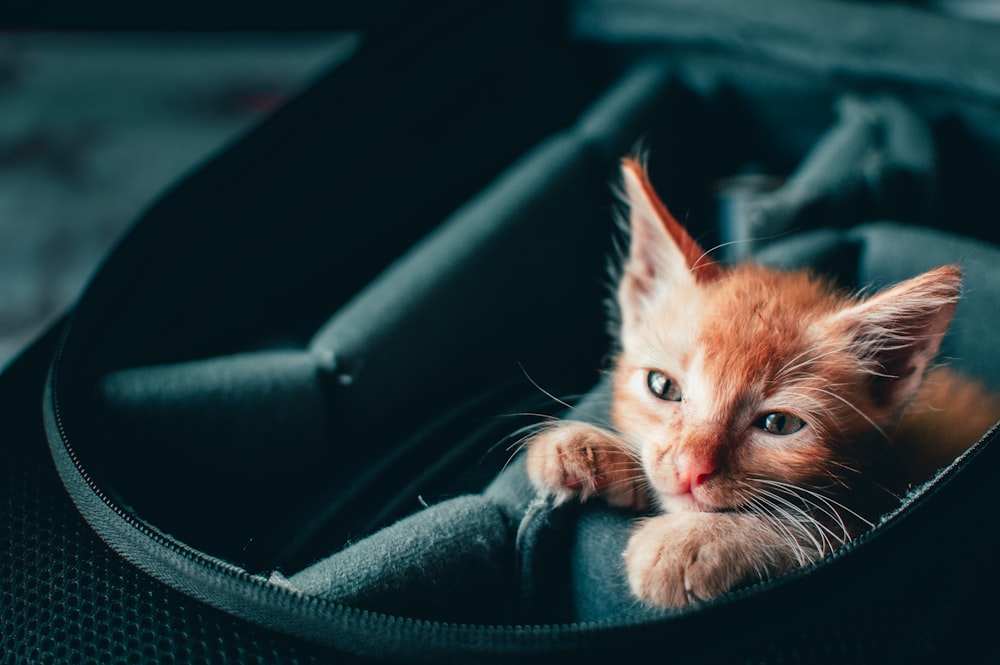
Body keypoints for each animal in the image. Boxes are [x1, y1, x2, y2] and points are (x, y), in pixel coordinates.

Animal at [528, 156, 996, 608]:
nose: (690, 469)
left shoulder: (874, 515)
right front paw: (590, 447)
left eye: (779, 424)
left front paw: (695, 540)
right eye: (663, 387)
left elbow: (814, 528)